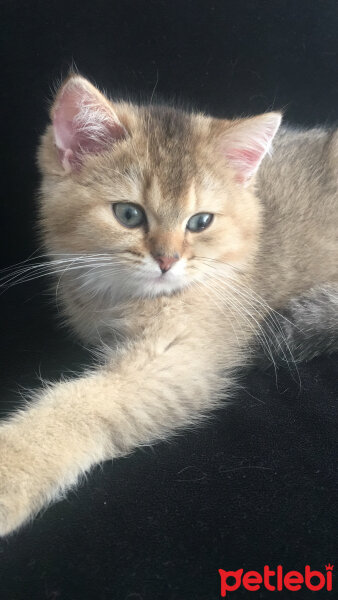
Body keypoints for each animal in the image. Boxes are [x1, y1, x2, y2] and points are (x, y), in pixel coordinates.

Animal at [0, 72, 338, 536]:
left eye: (200, 222)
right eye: (128, 214)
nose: (167, 260)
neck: (118, 294)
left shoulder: (178, 358)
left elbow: (83, 404)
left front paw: (13, 467)